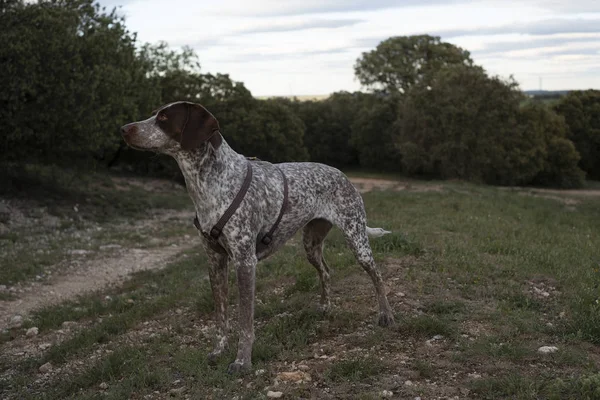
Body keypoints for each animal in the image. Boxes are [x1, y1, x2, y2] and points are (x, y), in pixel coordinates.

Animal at [120, 101, 396, 374]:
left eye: (164, 118)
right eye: (154, 114)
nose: (124, 129)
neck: (210, 184)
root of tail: (342, 175)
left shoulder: (245, 262)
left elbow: (245, 321)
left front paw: (243, 361)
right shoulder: (215, 262)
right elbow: (221, 317)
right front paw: (218, 351)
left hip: (356, 239)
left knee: (378, 276)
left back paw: (386, 315)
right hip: (311, 244)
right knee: (326, 272)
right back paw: (326, 307)